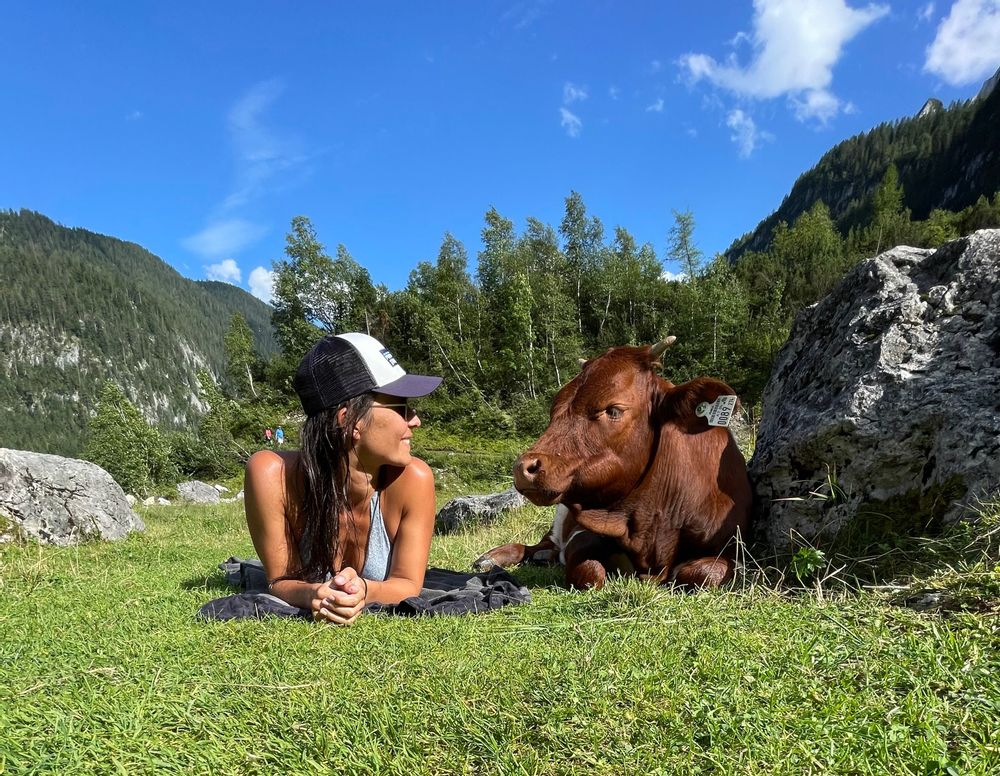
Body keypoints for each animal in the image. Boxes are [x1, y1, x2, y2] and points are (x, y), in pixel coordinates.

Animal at [473, 337, 752, 589]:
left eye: (613, 410)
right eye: (554, 411)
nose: (523, 468)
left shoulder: (732, 549)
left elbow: (702, 574)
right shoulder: (584, 531)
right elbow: (589, 572)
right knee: (539, 545)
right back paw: (490, 558)